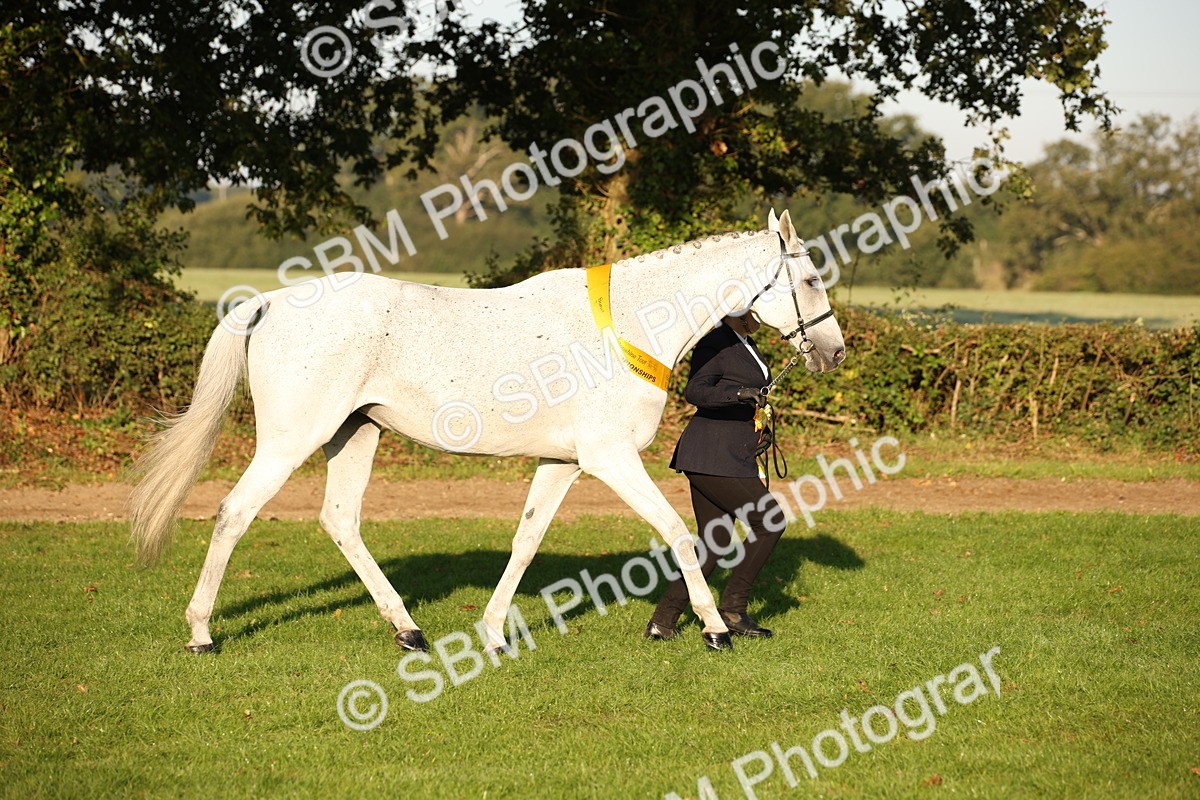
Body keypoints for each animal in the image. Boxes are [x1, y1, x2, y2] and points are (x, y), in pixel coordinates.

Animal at [129, 209, 846, 653]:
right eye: (811, 278)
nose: (834, 352)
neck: (628, 325)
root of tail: (268, 302)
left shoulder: (563, 464)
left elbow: (525, 543)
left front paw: (495, 633)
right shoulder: (609, 458)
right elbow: (675, 531)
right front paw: (714, 629)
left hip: (355, 433)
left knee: (339, 520)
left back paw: (409, 632)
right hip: (291, 439)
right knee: (234, 513)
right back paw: (201, 634)